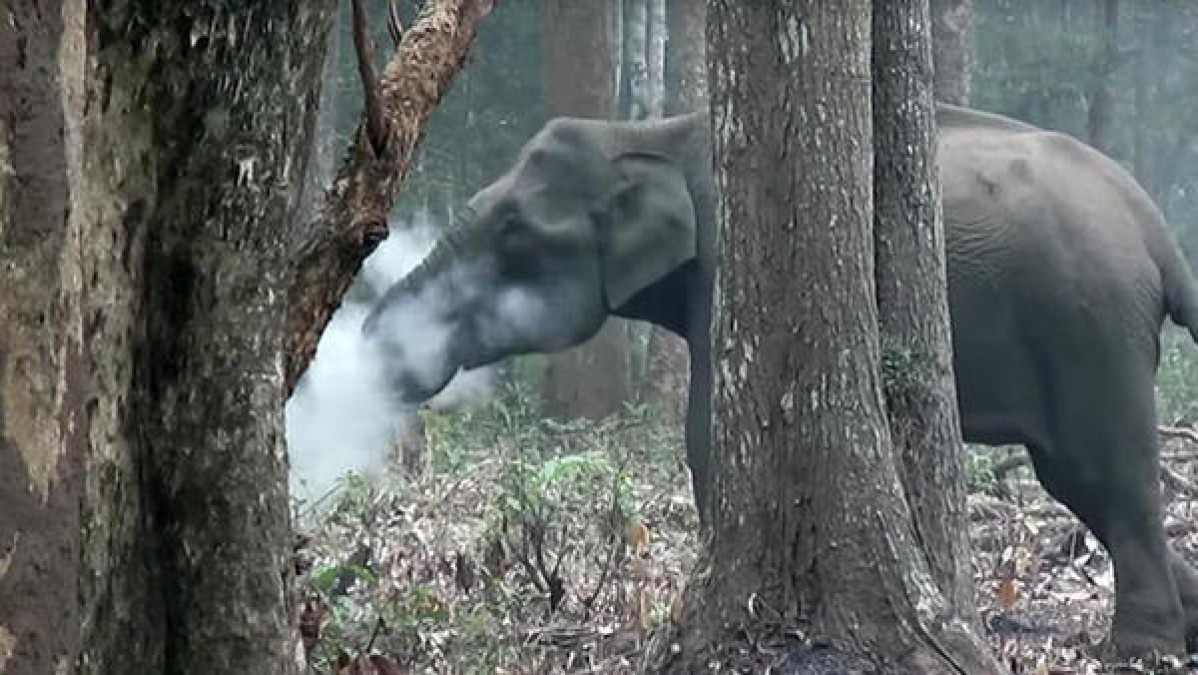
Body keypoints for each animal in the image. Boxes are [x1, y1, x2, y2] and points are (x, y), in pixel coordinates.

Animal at [361, 103, 1198, 657]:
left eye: (513, 236)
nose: (368, 348)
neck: (648, 134)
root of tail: (1157, 232)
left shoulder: (728, 266)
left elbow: (706, 431)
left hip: (1089, 324)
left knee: (1104, 473)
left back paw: (1139, 650)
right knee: (1076, 480)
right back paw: (1185, 623)